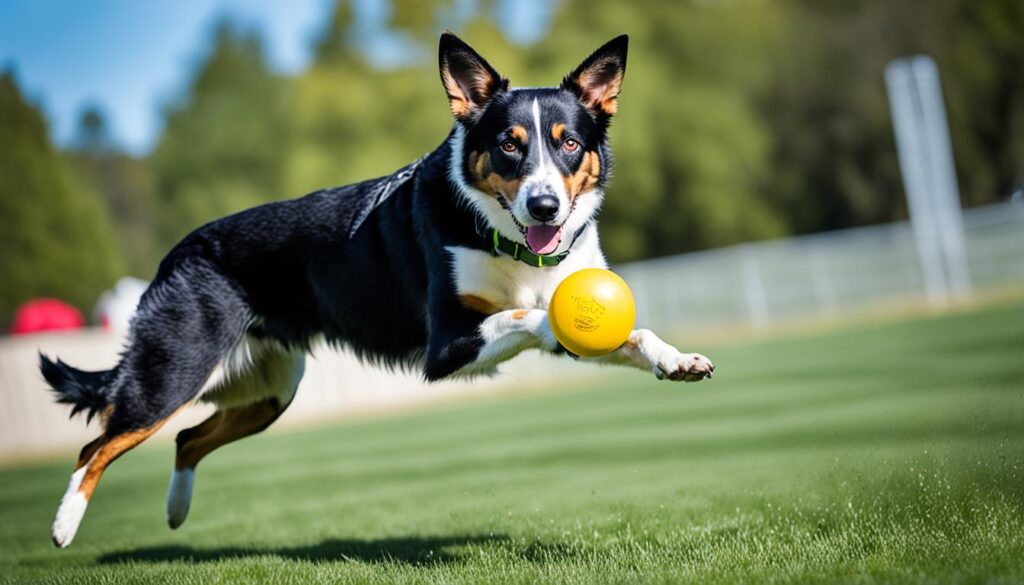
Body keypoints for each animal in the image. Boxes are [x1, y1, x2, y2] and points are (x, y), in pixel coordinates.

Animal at [39, 32, 712, 549]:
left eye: (570, 143)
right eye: (508, 145)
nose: (544, 204)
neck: (506, 240)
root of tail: (175, 254)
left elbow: (633, 333)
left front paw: (677, 360)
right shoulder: (447, 345)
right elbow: (530, 316)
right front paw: (555, 317)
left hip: (271, 390)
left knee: (185, 438)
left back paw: (176, 513)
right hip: (176, 369)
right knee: (96, 445)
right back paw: (65, 527)